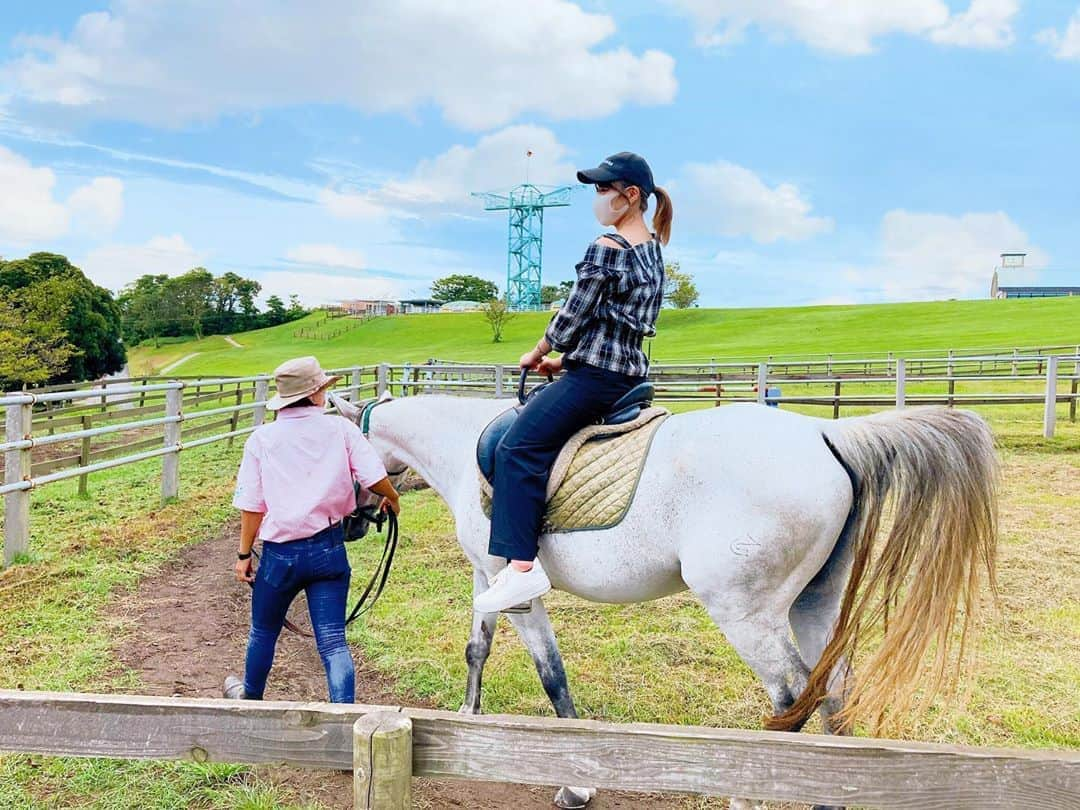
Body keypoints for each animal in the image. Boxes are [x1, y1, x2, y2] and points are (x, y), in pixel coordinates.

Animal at [332, 390, 997, 807]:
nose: (354, 526)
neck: (464, 445)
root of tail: (825, 432)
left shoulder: (516, 589)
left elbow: (551, 674)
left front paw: (576, 783)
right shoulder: (485, 576)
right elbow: (478, 648)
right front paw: (468, 722)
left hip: (747, 614)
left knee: (791, 701)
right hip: (816, 604)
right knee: (835, 693)